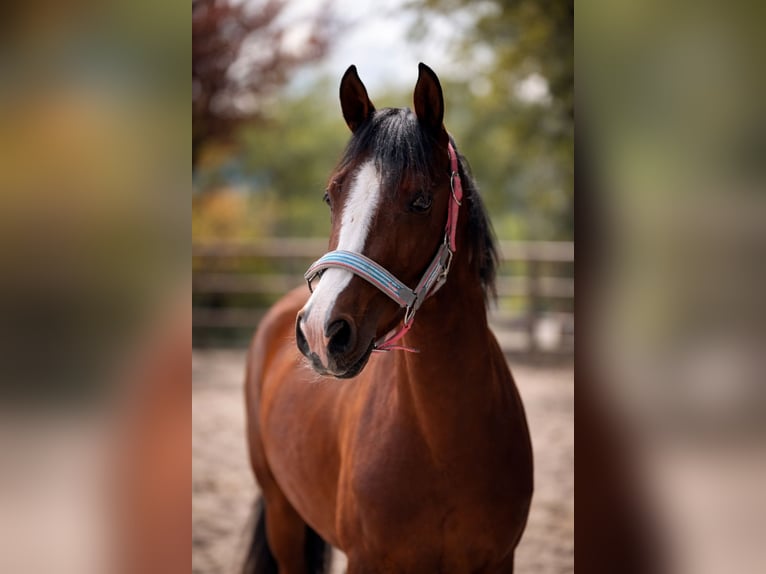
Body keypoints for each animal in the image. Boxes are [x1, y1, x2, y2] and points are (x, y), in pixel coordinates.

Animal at [244, 63, 533, 574]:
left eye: (420, 201)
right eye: (330, 196)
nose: (319, 330)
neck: (444, 446)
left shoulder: (500, 560)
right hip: (282, 513)